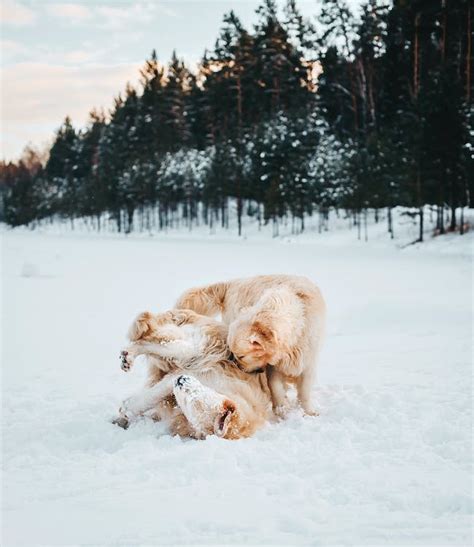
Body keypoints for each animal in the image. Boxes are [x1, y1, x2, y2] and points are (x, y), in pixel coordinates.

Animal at [115, 308, 270, 440]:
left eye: (191, 402)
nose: (181, 380)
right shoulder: (199, 372)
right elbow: (151, 397)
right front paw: (127, 409)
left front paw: (126, 411)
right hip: (194, 349)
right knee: (148, 341)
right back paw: (129, 355)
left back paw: (127, 357)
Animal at [176, 274, 328, 416]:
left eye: (242, 356)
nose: (238, 368)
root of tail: (231, 283)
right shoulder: (273, 366)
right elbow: (275, 385)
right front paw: (281, 409)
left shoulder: (308, 359)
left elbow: (305, 390)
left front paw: (308, 411)